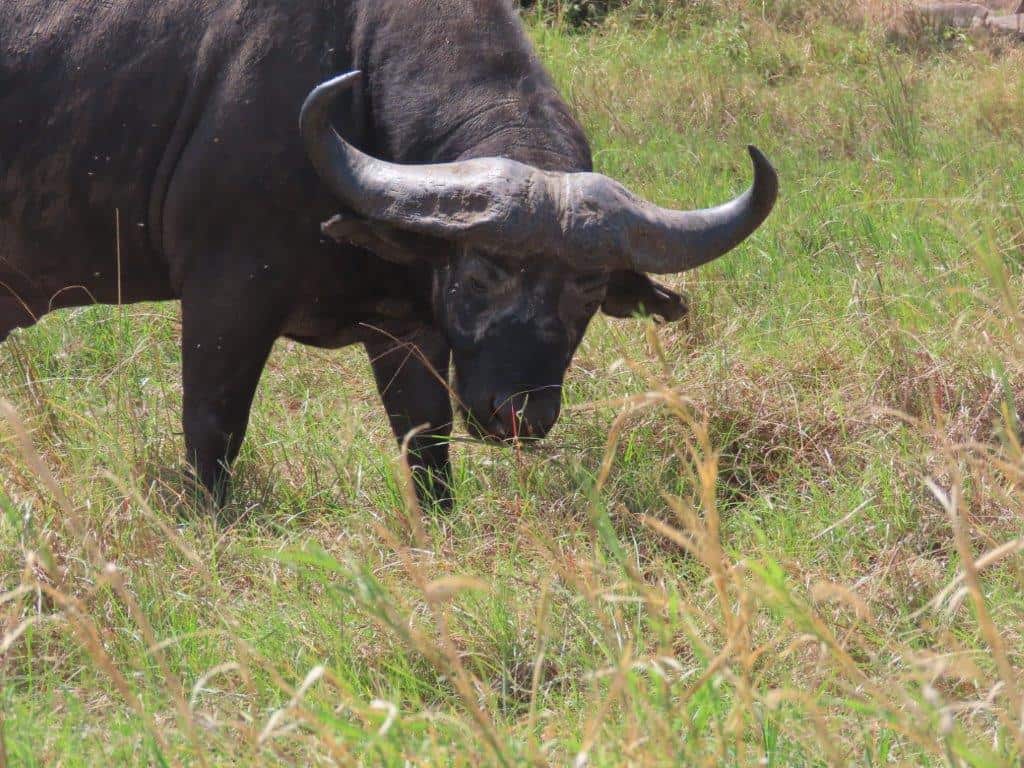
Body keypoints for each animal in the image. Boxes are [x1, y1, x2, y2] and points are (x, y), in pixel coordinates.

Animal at [0, 0, 777, 507]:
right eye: (479, 273)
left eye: (587, 291)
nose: (519, 415)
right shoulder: (226, 298)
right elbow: (213, 430)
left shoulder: (407, 331)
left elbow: (425, 444)